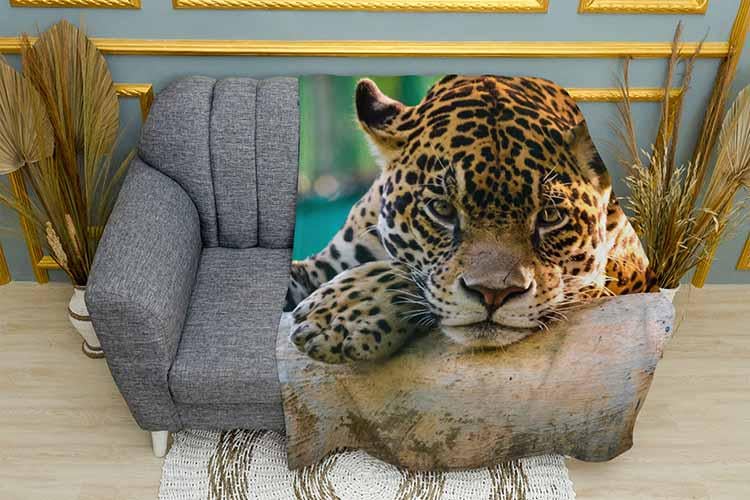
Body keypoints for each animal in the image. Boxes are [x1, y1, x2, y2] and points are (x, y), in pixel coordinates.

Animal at [286, 74, 658, 364]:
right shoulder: (321, 264)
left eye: (550, 216)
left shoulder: (625, 269)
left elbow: (410, 272)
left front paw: (344, 313)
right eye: (442, 210)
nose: (494, 294)